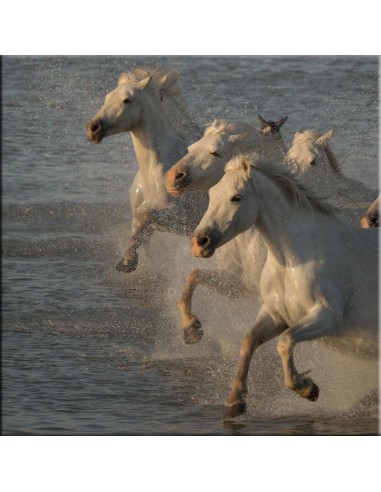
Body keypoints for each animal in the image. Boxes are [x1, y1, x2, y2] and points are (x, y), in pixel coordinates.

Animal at [86, 67, 205, 272]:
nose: (93, 129)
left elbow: (147, 218)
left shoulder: (175, 218)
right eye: (107, 97)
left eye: (127, 100)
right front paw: (130, 261)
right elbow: (140, 234)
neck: (153, 172)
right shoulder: (138, 218)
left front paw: (126, 262)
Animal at [165, 117, 286, 336]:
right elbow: (194, 275)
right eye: (191, 148)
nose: (171, 177)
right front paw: (190, 326)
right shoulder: (238, 284)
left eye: (215, 152)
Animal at [191, 156, 376, 418]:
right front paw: (235, 400)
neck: (292, 260)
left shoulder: (327, 317)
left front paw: (307, 389)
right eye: (211, 194)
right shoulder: (276, 314)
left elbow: (284, 342)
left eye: (236, 197)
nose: (199, 242)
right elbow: (248, 340)